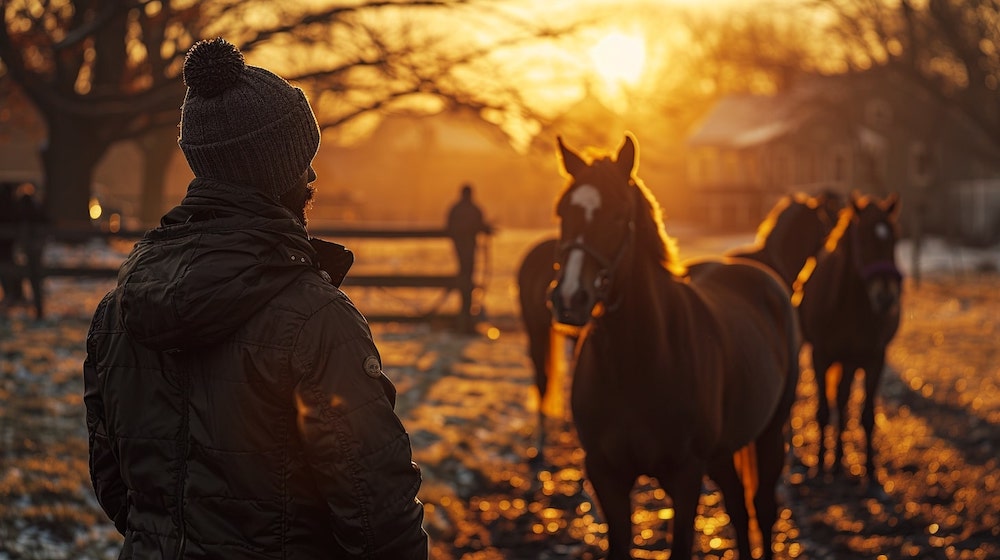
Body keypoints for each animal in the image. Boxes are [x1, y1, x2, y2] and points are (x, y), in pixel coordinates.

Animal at [548, 135, 796, 560]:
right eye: (563, 210)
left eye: (619, 214)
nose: (569, 299)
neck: (639, 362)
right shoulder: (606, 474)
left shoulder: (685, 474)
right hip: (722, 454)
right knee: (737, 506)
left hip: (769, 434)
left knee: (761, 508)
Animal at [800, 192, 904, 482]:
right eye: (864, 239)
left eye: (894, 239)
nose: (885, 297)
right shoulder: (820, 356)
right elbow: (824, 411)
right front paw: (820, 463)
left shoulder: (874, 358)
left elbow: (867, 416)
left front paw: (870, 470)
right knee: (840, 402)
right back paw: (833, 461)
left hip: (851, 361)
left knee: (844, 402)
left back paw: (839, 460)